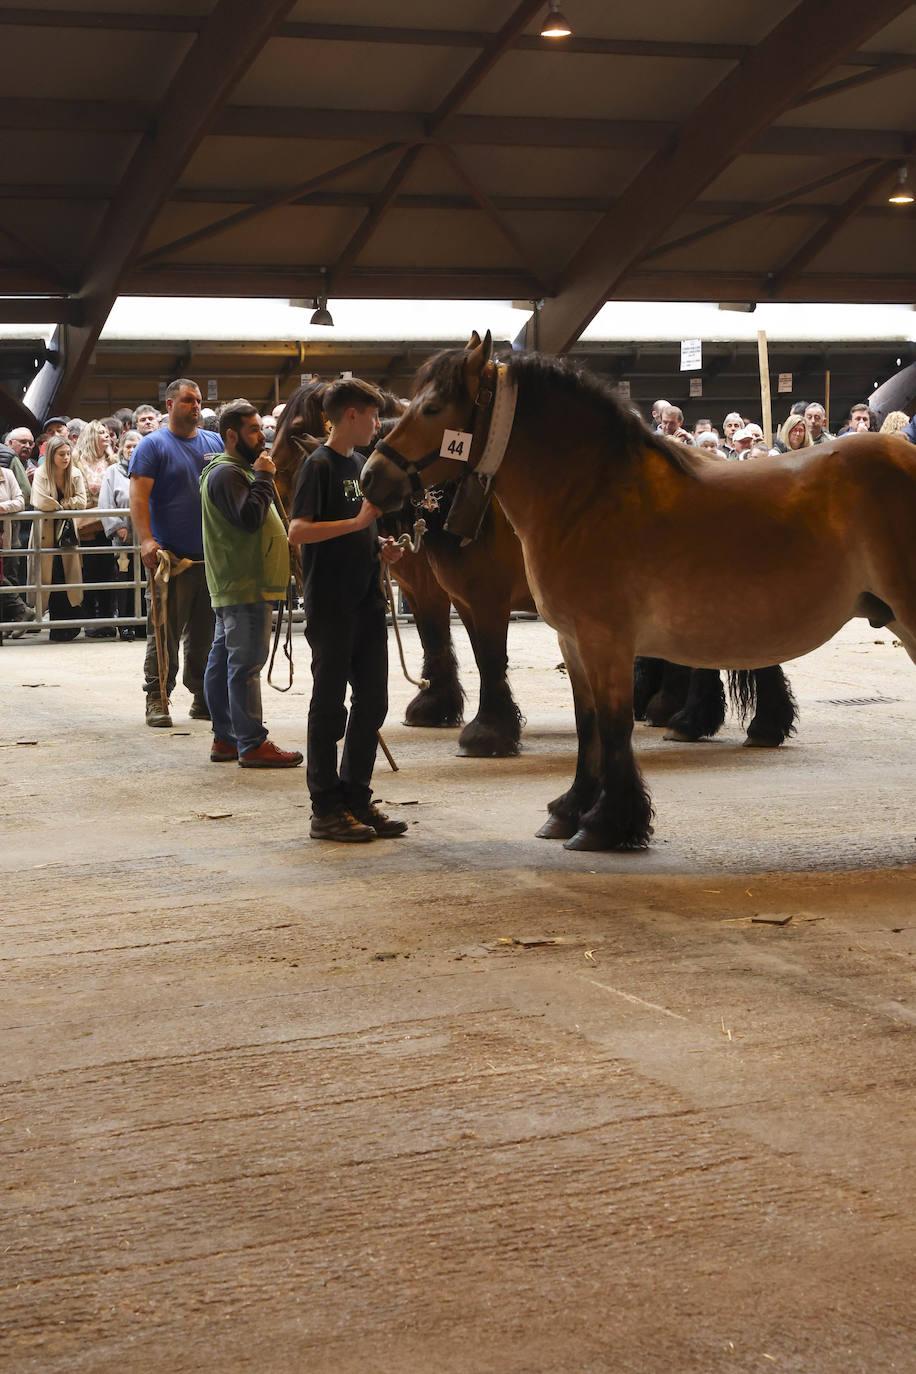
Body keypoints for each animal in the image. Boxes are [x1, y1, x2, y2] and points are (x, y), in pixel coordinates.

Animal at [360, 332, 916, 852]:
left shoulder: (600, 640)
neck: (590, 496)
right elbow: (588, 725)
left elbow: (612, 725)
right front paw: (571, 809)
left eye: (433, 408)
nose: (369, 479)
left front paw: (608, 823)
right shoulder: (572, 641)